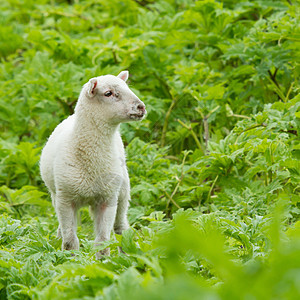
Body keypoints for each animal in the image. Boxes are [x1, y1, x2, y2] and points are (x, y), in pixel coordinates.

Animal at [39, 71, 146, 256]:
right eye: (108, 93)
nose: (141, 107)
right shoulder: (65, 199)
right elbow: (70, 241)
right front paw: (70, 259)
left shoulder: (108, 199)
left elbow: (102, 242)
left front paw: (102, 260)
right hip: (56, 195)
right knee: (62, 229)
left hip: (123, 190)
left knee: (121, 227)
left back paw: (127, 253)